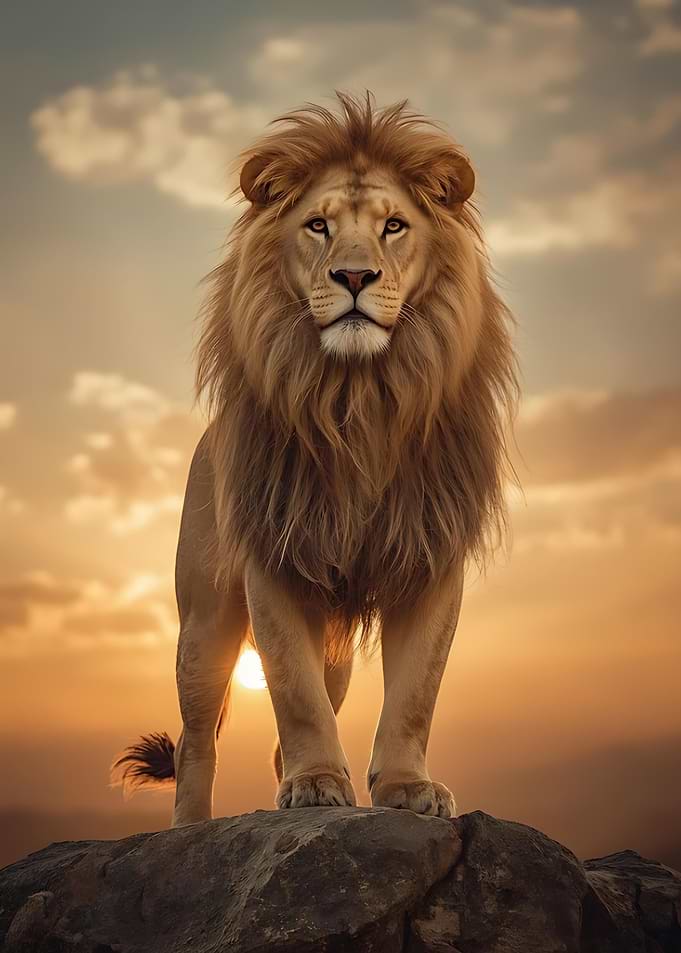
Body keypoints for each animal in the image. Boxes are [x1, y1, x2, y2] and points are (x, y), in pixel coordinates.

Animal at [111, 91, 518, 826]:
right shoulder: (273, 557)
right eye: (317, 226)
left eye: (393, 226)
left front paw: (405, 787)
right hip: (203, 627)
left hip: (336, 656)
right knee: (196, 740)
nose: (354, 275)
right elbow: (291, 691)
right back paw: (189, 827)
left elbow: (415, 692)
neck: (359, 397)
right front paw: (317, 782)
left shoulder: (430, 556)